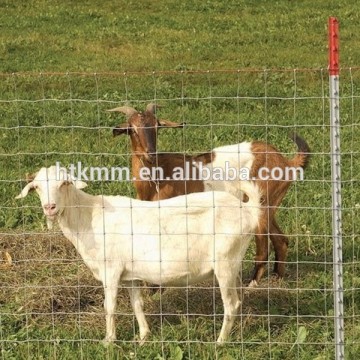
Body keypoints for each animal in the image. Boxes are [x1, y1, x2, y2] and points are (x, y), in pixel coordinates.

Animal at [16, 166, 262, 344]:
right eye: (37, 187)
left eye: (64, 183)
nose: (50, 207)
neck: (89, 217)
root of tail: (248, 210)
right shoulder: (130, 274)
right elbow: (137, 304)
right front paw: (143, 336)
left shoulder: (111, 270)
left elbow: (109, 306)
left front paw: (109, 341)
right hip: (233, 264)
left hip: (224, 263)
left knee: (231, 304)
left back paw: (220, 343)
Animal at [108, 104, 310, 286]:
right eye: (132, 129)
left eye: (157, 126)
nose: (150, 154)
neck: (158, 178)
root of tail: (286, 162)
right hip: (270, 204)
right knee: (281, 240)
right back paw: (278, 277)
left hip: (261, 201)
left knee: (263, 245)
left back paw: (252, 283)